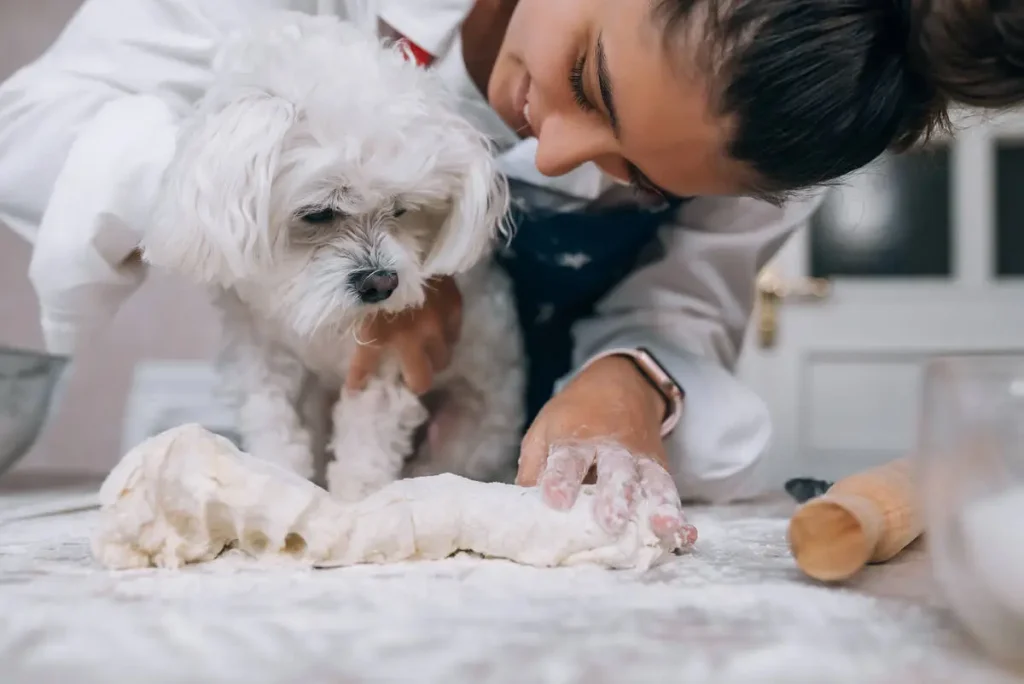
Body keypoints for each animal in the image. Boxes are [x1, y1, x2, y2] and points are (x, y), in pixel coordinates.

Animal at [141, 12, 524, 501]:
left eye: (401, 209)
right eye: (320, 212)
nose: (382, 284)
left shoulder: (387, 362)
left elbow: (365, 451)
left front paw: (351, 506)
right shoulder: (261, 354)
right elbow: (274, 425)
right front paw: (275, 485)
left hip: (469, 429)